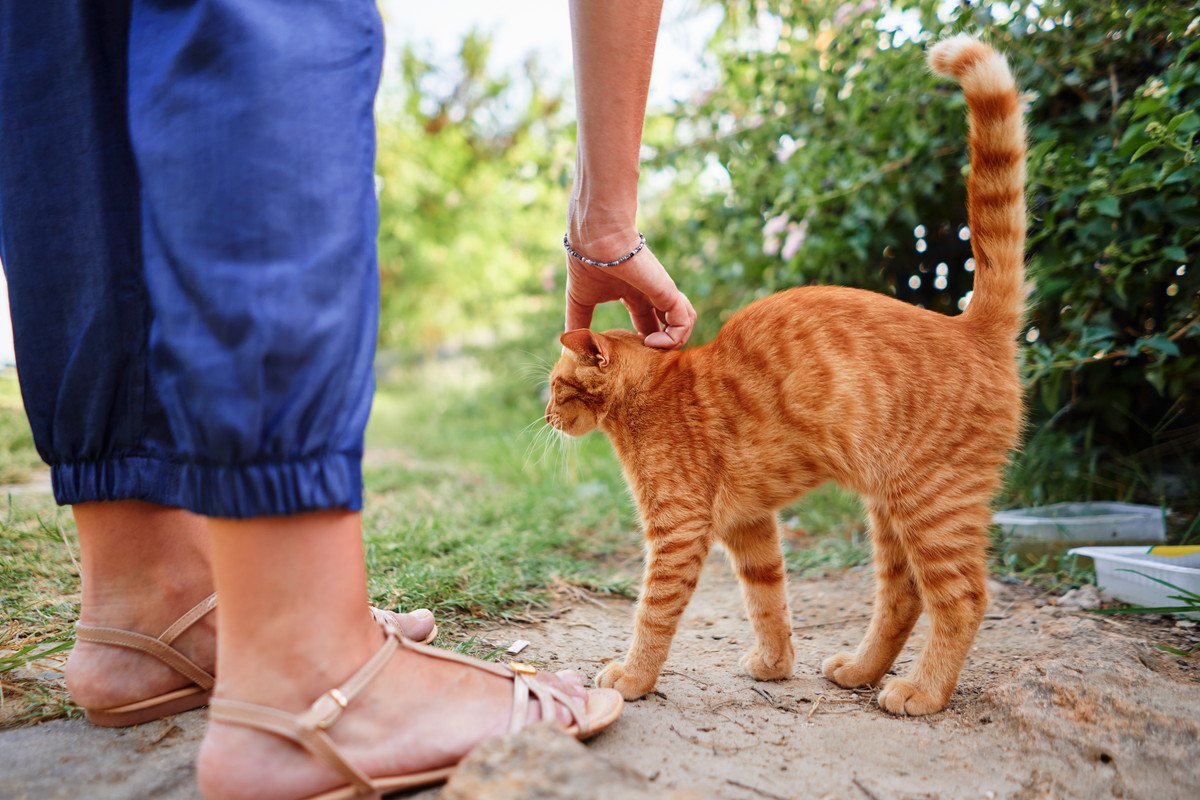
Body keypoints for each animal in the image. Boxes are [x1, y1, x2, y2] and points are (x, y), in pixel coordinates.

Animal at [549, 35, 1027, 719]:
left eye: (555, 387)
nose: (547, 416)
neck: (654, 392)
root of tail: (971, 325)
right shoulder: (748, 524)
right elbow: (768, 597)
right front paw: (776, 665)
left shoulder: (677, 532)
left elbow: (653, 615)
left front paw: (633, 678)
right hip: (891, 511)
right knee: (903, 596)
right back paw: (862, 669)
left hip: (934, 504)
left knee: (961, 598)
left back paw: (922, 690)